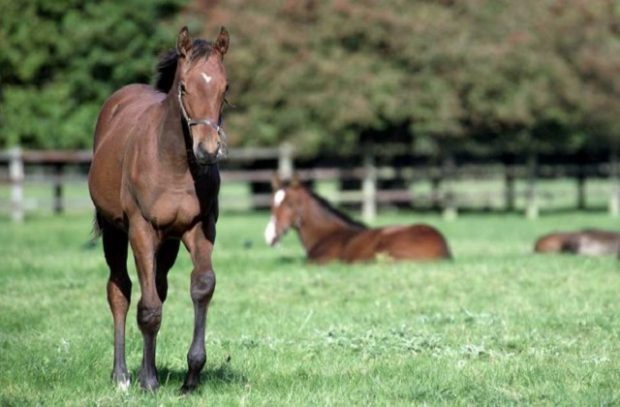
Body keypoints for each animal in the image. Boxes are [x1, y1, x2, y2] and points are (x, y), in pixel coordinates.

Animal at [87, 26, 230, 392]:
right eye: (184, 87)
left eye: (225, 88)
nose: (208, 150)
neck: (175, 164)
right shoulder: (141, 229)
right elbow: (148, 307)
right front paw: (149, 381)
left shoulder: (201, 227)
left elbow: (202, 286)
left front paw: (192, 375)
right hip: (115, 231)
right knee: (120, 290)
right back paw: (123, 375)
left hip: (169, 243)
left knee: (159, 287)